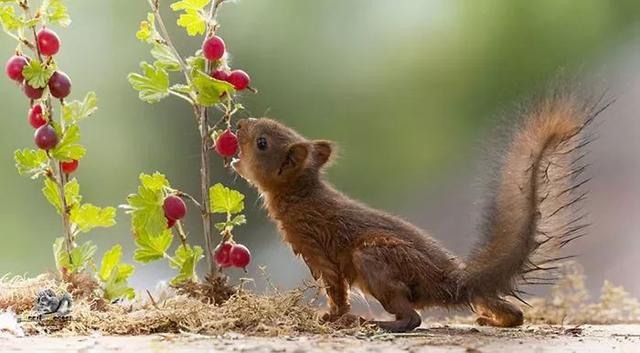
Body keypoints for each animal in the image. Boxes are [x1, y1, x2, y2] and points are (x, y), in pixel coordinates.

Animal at [231, 89, 608, 332]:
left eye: (262, 142)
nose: (240, 124)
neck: (301, 194)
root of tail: (451, 282)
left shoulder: (318, 248)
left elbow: (336, 290)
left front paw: (331, 318)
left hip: (373, 256)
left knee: (413, 319)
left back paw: (378, 324)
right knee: (514, 313)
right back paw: (493, 318)